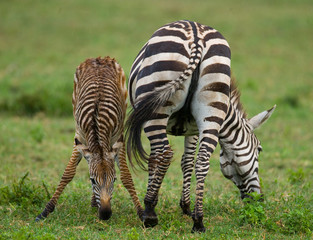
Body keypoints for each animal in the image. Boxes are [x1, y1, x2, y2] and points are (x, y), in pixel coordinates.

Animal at [36, 55, 143, 221]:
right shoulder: (79, 136)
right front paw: (46, 210)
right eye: (92, 180)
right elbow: (68, 173)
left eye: (114, 180)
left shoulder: (118, 137)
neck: (96, 122)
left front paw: (142, 213)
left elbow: (126, 176)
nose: (105, 214)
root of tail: (100, 59)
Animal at [125, 20, 274, 232]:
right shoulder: (195, 128)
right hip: (211, 107)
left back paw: (150, 212)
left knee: (164, 154)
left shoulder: (190, 130)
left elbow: (168, 160)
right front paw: (188, 208)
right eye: (260, 149)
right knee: (202, 160)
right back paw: (198, 221)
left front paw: (182, 205)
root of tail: (196, 35)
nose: (259, 199)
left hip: (156, 111)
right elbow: (188, 161)